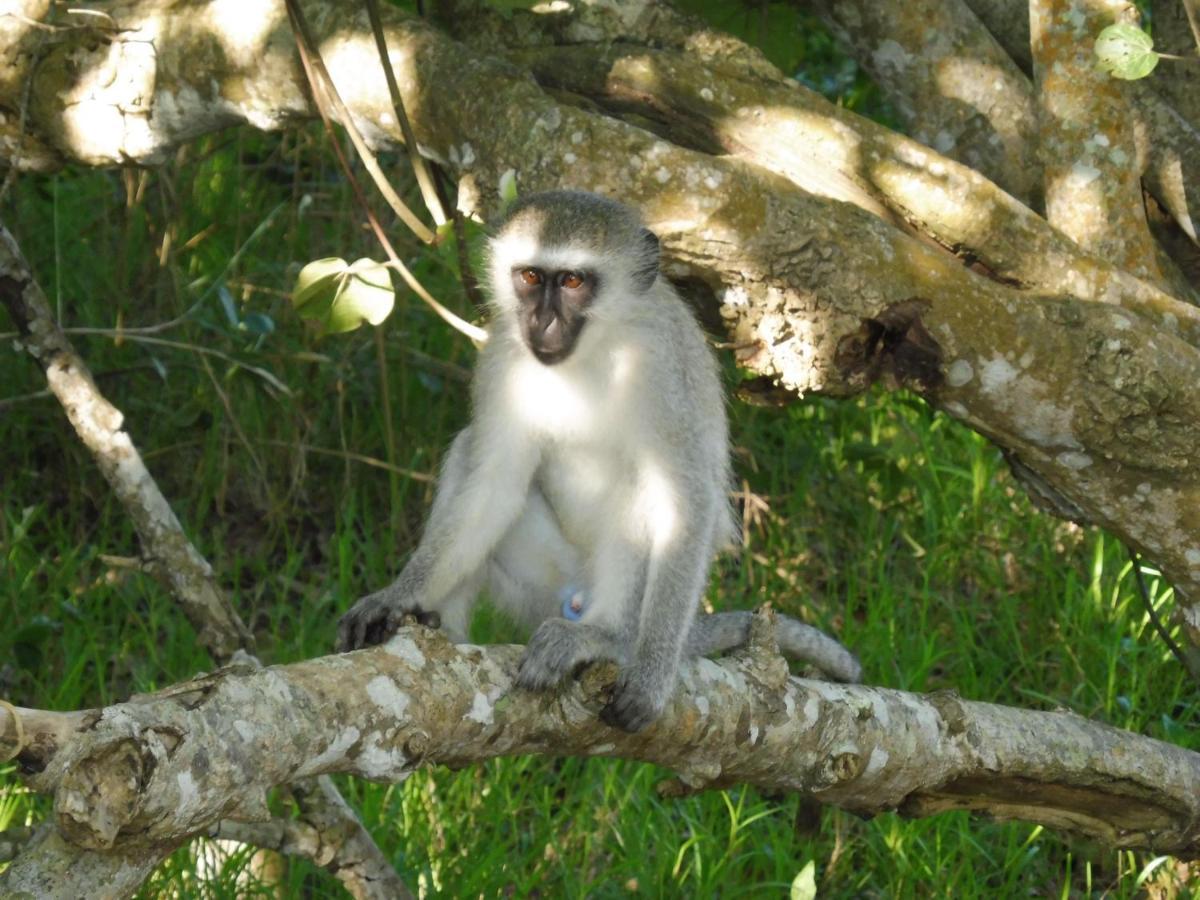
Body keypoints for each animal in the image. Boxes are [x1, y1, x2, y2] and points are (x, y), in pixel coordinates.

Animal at [338, 190, 864, 734]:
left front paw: (652, 672)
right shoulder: (503, 353)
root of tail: (573, 600)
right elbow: (495, 483)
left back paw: (607, 638)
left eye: (573, 281)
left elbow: (686, 501)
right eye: (531, 277)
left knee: (643, 493)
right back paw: (439, 630)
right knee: (470, 454)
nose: (542, 322)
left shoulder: (661, 366)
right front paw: (397, 597)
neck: (590, 349)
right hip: (541, 584)